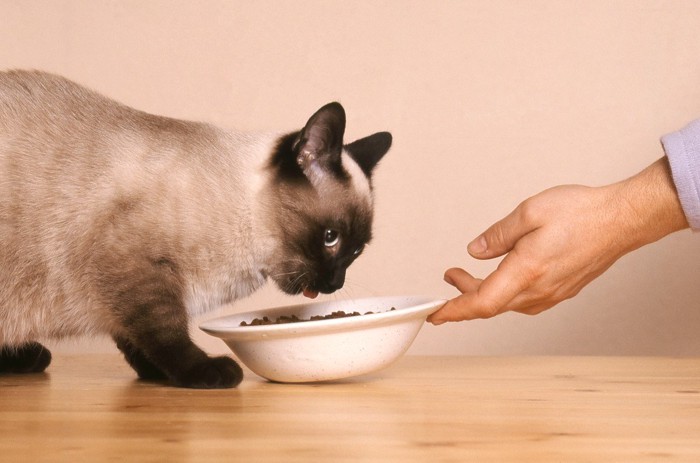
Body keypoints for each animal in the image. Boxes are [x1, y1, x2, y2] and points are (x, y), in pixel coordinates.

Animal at [0, 70, 394, 388]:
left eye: (355, 251)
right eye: (330, 238)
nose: (335, 283)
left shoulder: (133, 285)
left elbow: (135, 338)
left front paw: (156, 374)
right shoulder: (135, 271)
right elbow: (164, 333)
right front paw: (203, 373)